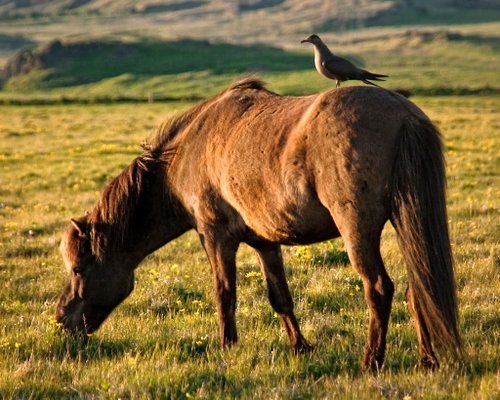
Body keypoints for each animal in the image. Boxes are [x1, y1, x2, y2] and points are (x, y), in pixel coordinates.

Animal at [55, 78, 460, 372]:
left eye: (78, 268)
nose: (61, 320)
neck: (188, 152)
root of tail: (404, 115)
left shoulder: (215, 237)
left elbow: (225, 293)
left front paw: (227, 345)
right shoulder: (266, 242)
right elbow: (280, 296)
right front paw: (300, 346)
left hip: (357, 230)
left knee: (379, 288)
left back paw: (371, 362)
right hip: (403, 222)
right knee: (417, 288)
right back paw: (427, 360)